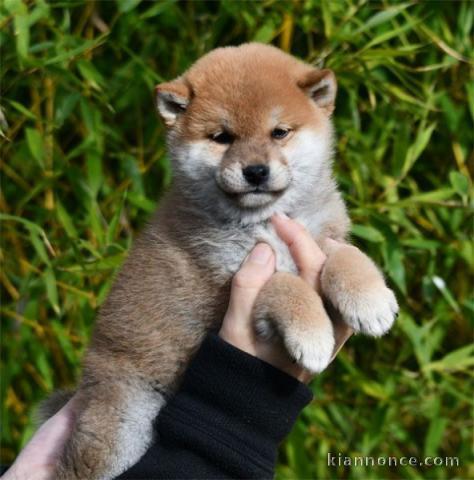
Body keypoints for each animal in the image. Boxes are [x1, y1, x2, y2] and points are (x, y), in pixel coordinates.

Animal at [42, 43, 398, 478]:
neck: (266, 222)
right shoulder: (226, 276)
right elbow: (285, 284)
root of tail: (88, 382)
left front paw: (370, 299)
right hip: (124, 417)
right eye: (222, 137)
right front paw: (312, 333)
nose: (255, 171)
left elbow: (348, 254)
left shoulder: (321, 236)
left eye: (279, 132)